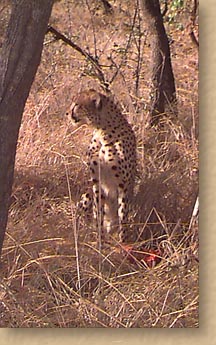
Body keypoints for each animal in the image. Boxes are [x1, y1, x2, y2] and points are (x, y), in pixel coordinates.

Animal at [69, 88, 137, 242]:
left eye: (77, 105)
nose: (67, 114)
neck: (103, 131)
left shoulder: (123, 184)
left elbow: (122, 214)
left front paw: (123, 242)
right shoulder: (96, 180)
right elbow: (98, 211)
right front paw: (98, 240)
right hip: (87, 194)